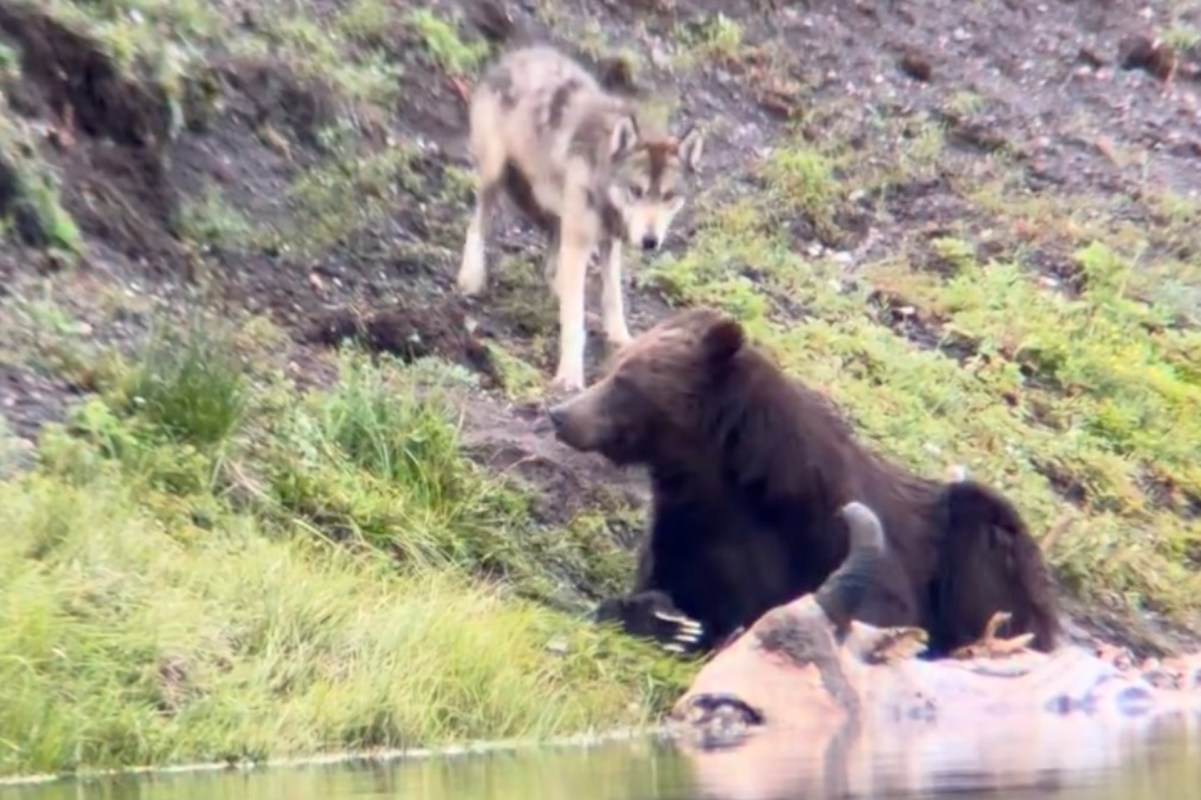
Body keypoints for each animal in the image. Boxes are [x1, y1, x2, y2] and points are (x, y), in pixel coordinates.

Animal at [455, 44, 706, 392]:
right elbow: (573, 322)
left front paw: (623, 340)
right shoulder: (580, 241)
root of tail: (517, 54)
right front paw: (570, 374)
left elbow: (613, 298)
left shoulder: (609, 241)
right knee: (478, 222)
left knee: (552, 268)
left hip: (556, 212)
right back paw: (471, 277)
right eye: (636, 190)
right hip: (496, 176)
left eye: (668, 196)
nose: (649, 241)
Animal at [546, 306, 1062, 658]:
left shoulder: (831, 530)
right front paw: (666, 619)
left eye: (624, 380)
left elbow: (877, 605)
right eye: (615, 367)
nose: (560, 414)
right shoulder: (687, 530)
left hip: (982, 543)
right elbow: (662, 588)